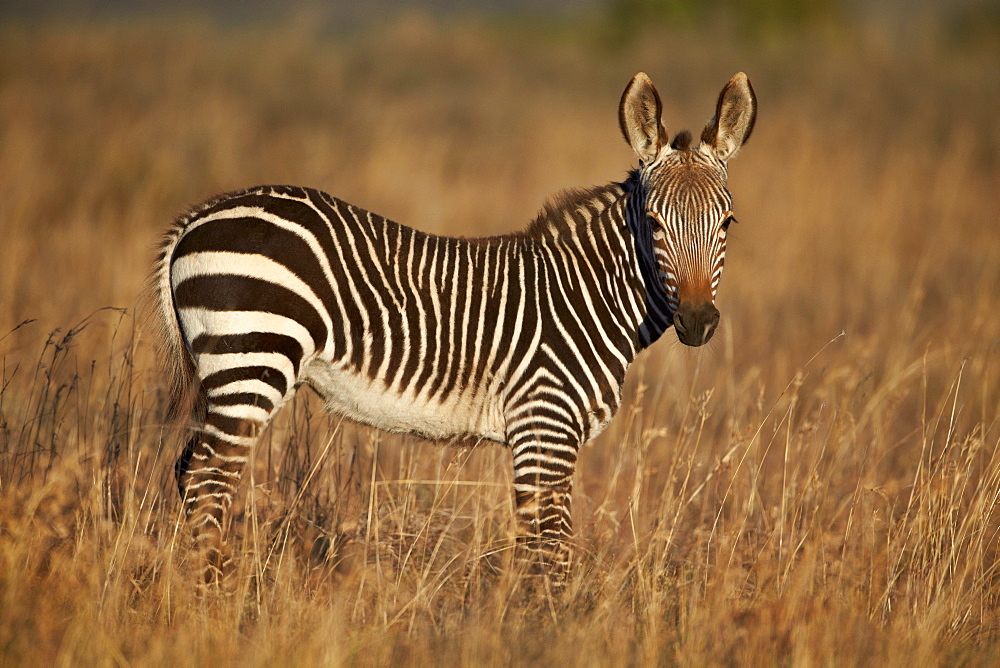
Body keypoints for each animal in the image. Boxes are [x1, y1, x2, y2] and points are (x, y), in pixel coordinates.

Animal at [152, 70, 752, 588]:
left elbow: (544, 545)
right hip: (252, 362)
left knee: (190, 473)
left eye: (727, 223)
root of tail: (198, 217)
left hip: (228, 375)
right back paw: (212, 600)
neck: (585, 295)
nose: (697, 322)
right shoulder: (544, 425)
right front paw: (548, 628)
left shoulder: (551, 434)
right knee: (208, 482)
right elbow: (549, 550)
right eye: (652, 223)